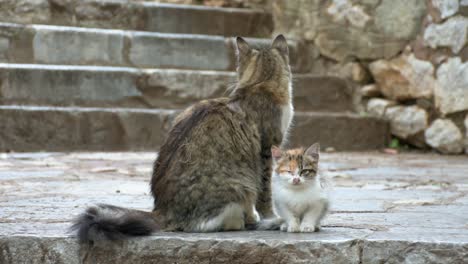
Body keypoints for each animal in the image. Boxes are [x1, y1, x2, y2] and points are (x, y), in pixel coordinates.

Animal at [72, 34, 294, 241]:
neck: (260, 83)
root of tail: (162, 210)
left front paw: (256, 217)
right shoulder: (266, 150)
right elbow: (265, 193)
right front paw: (270, 218)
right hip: (238, 186)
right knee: (209, 223)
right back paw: (245, 223)